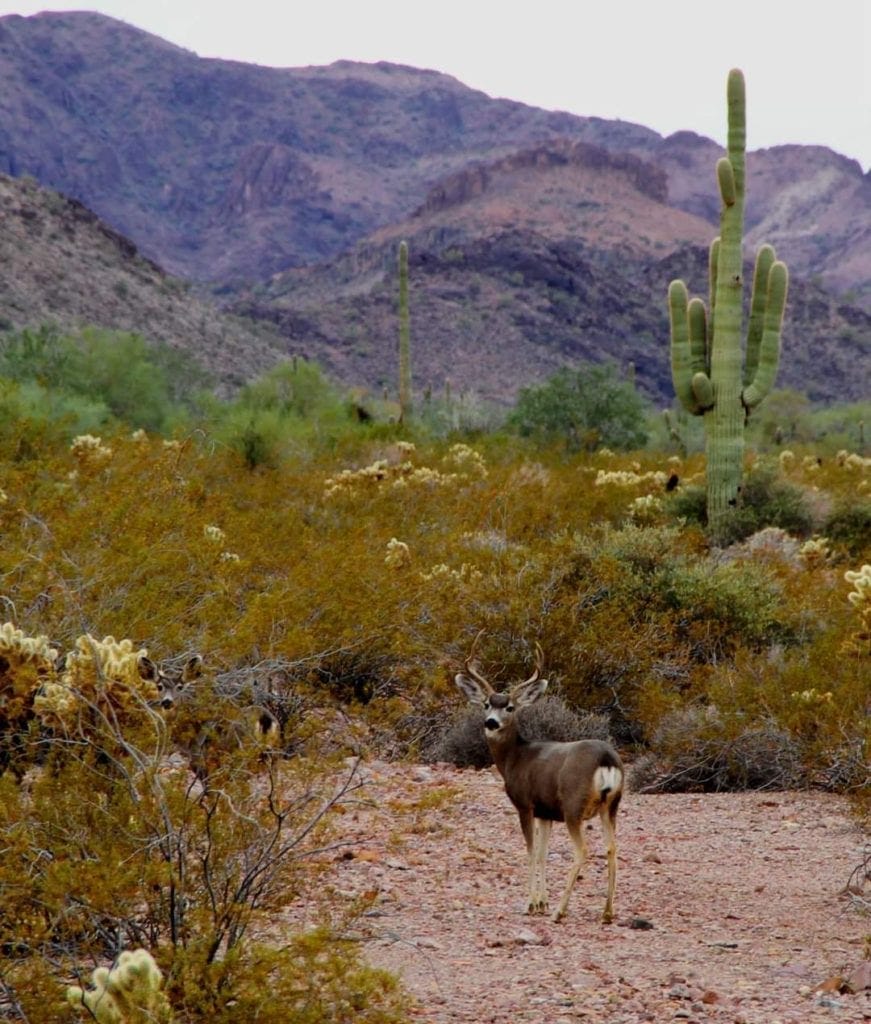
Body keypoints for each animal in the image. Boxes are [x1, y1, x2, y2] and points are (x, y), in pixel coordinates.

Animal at [452, 634, 622, 925]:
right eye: (486, 704)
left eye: (510, 707)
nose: (491, 722)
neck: (515, 758)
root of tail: (606, 759)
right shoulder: (546, 812)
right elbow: (543, 853)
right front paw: (541, 902)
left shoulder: (525, 804)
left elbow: (531, 851)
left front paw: (531, 904)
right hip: (610, 806)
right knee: (612, 848)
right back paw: (607, 912)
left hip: (574, 806)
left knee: (583, 850)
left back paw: (560, 911)